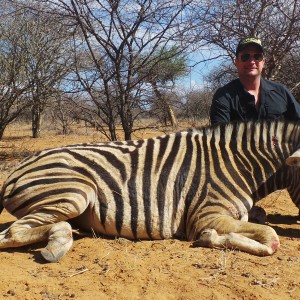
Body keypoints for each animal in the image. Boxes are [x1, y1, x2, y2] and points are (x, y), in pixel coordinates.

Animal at [0, 120, 298, 262]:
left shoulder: (233, 215)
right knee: (15, 232)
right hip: (75, 194)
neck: (239, 165)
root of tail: (16, 170)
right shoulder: (205, 215)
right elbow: (271, 238)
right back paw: (59, 242)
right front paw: (209, 237)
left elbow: (261, 228)